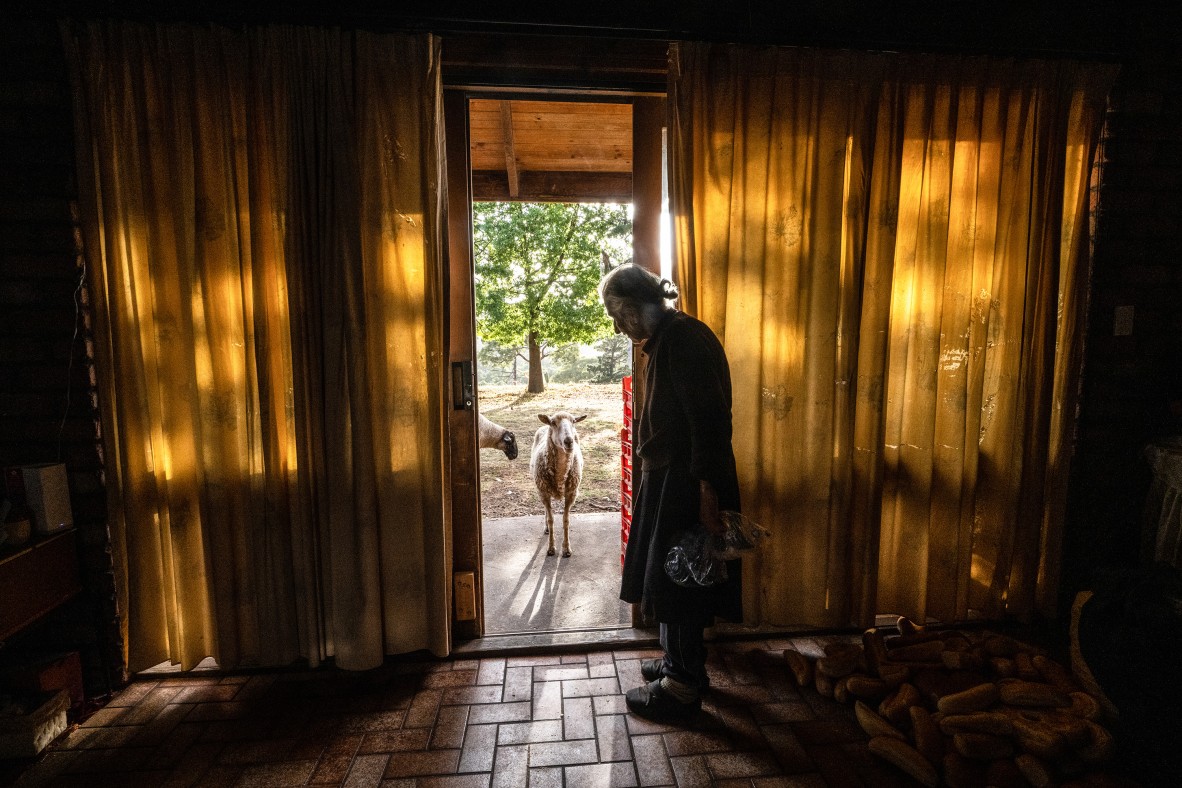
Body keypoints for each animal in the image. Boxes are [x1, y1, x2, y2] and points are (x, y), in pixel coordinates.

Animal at [534, 411, 588, 557]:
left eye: (574, 421)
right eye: (553, 422)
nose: (569, 441)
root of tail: (543, 426)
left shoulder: (571, 494)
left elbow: (566, 520)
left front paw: (566, 548)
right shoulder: (544, 492)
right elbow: (551, 519)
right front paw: (551, 548)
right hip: (541, 490)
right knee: (546, 511)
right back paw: (546, 528)